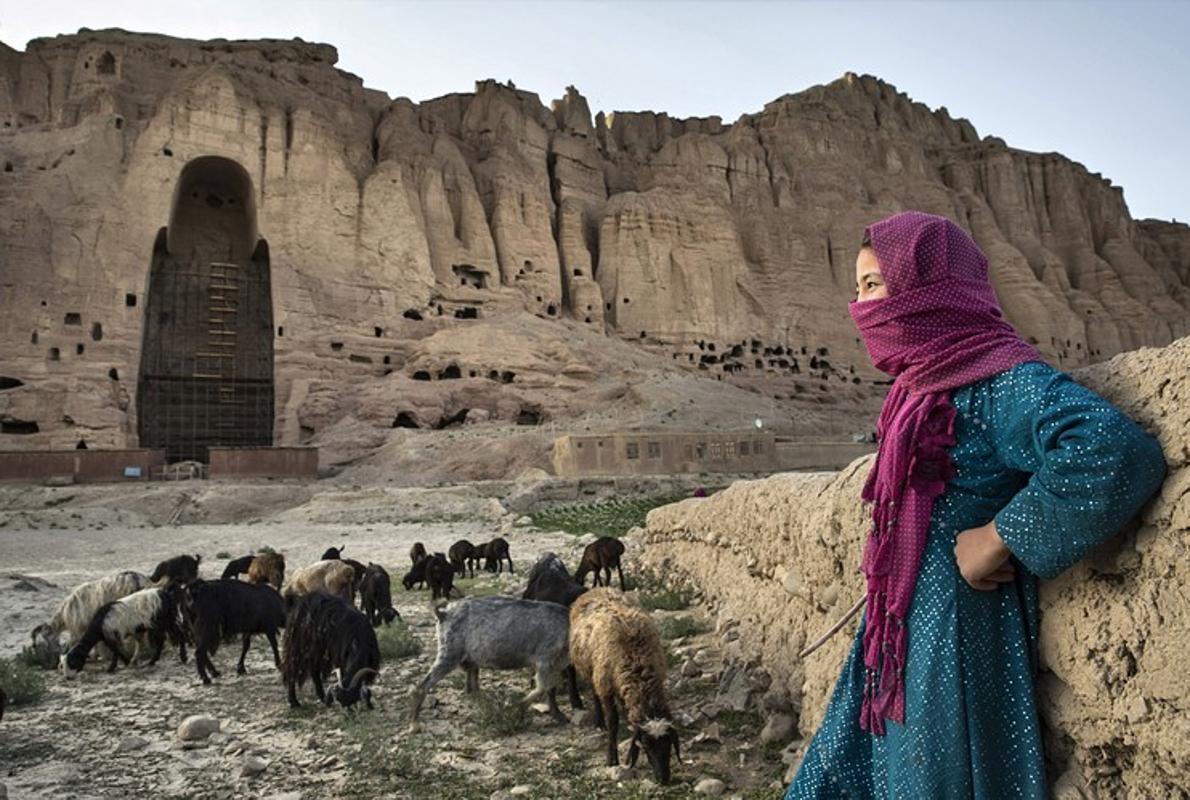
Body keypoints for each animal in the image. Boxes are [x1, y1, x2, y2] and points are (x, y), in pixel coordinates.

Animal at [409, 592, 571, 733]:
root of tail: (444, 613)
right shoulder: (545, 658)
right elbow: (543, 687)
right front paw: (517, 707)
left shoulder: (555, 663)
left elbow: (550, 689)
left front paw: (557, 714)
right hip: (450, 652)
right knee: (423, 685)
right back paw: (414, 723)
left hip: (467, 657)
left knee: (471, 685)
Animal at [568, 583, 680, 785]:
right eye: (646, 746)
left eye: (669, 744)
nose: (663, 779)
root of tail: (598, 588)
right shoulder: (606, 686)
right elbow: (613, 722)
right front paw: (611, 759)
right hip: (592, 669)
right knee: (594, 693)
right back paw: (599, 722)